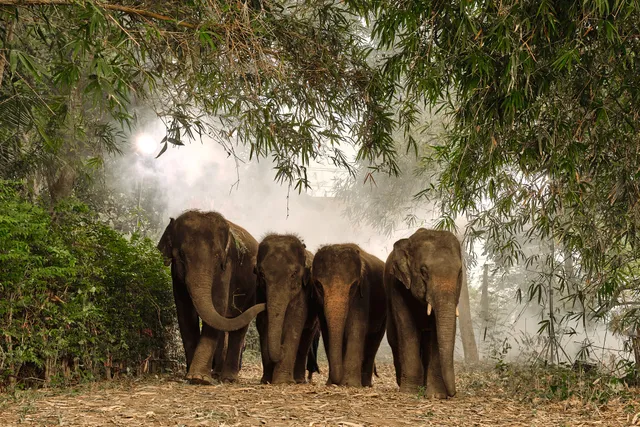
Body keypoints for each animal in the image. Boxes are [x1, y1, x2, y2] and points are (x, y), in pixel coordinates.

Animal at [157, 210, 265, 384]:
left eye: (217, 256)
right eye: (181, 254)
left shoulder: (227, 266)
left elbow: (218, 305)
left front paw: (199, 378)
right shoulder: (176, 274)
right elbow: (184, 312)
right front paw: (191, 375)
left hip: (253, 289)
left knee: (239, 325)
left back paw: (228, 378)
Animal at [254, 234, 321, 384]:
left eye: (293, 274)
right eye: (262, 274)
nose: (282, 348)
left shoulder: (303, 293)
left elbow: (294, 323)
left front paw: (282, 382)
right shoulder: (259, 292)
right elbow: (262, 323)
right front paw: (266, 380)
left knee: (306, 339)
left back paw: (299, 380)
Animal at [312, 244, 386, 387]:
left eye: (353, 286)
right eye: (319, 285)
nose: (336, 381)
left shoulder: (363, 294)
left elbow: (355, 327)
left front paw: (349, 384)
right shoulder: (319, 304)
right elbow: (326, 331)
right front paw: (331, 383)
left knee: (374, 340)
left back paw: (366, 384)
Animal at [385, 228, 462, 398]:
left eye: (460, 272)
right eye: (424, 272)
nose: (453, 394)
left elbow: (436, 335)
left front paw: (436, 396)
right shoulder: (396, 286)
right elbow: (407, 329)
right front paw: (409, 393)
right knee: (394, 340)